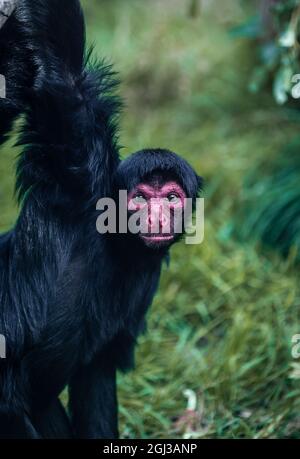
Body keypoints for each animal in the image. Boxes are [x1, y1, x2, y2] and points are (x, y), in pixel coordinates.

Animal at [0, 0, 203, 438]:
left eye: (171, 198)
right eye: (141, 199)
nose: (157, 217)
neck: (117, 246)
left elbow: (96, 371)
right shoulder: (77, 177)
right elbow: (64, 78)